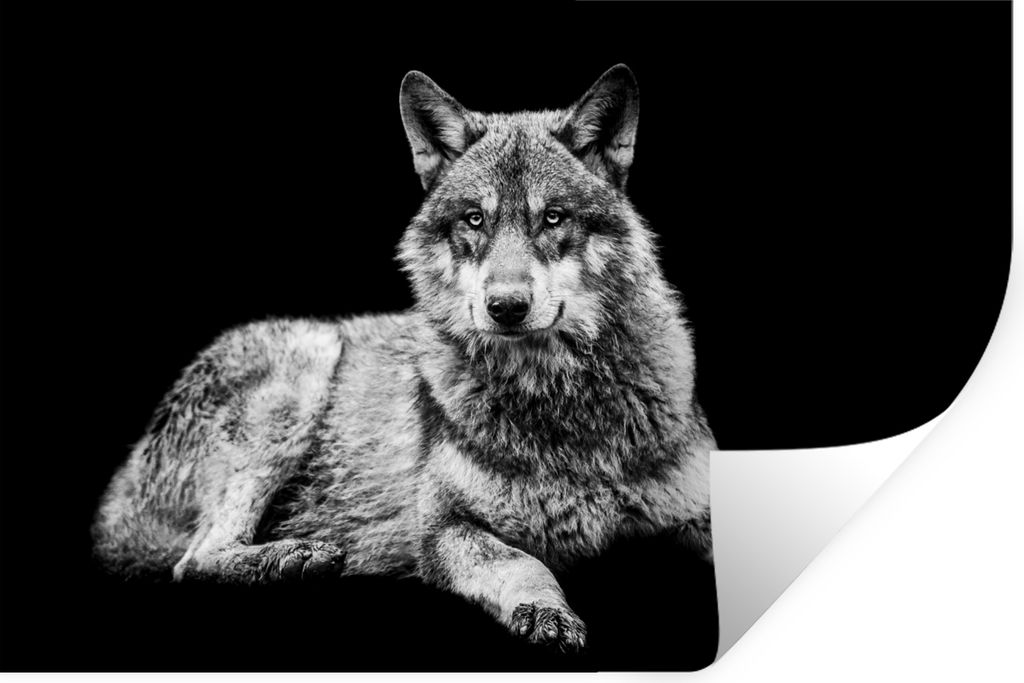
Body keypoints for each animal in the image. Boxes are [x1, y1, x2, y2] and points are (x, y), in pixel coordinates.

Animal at [92, 65, 715, 652]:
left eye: (554, 218)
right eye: (474, 219)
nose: (506, 307)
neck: (559, 400)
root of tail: (122, 485)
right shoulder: (442, 528)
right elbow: (522, 562)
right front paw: (545, 612)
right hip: (305, 366)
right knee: (192, 560)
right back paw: (292, 558)